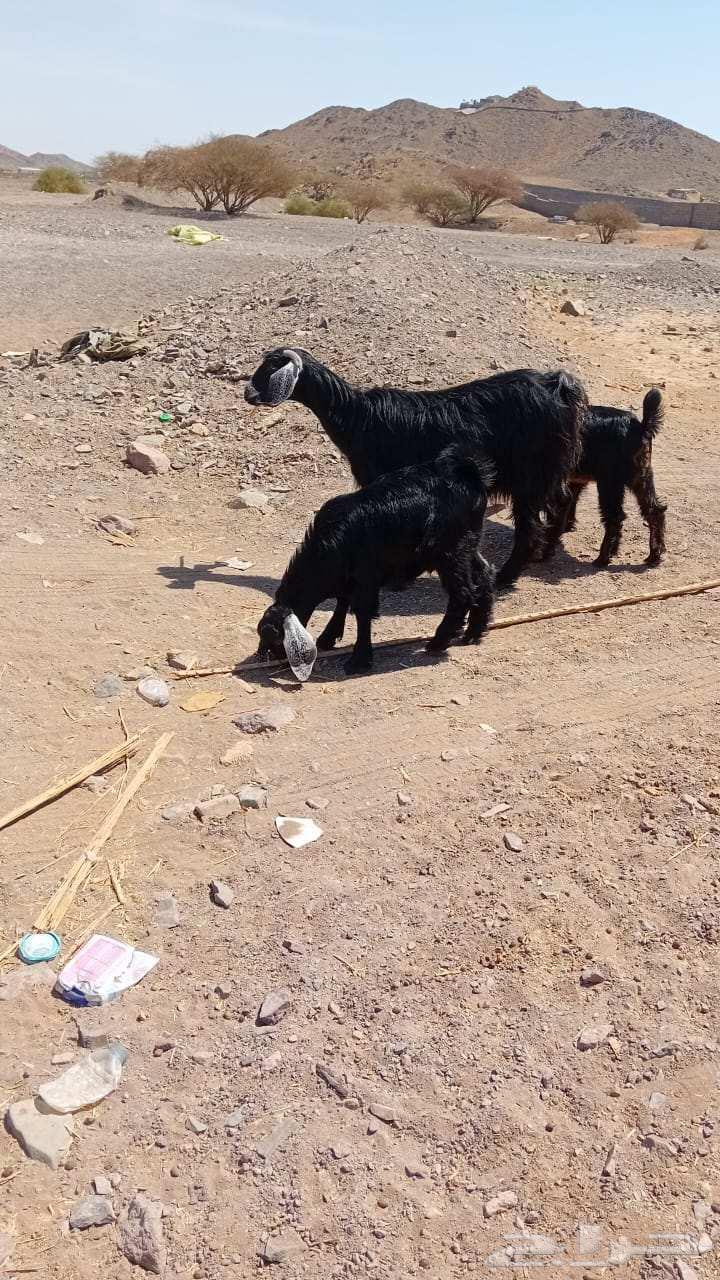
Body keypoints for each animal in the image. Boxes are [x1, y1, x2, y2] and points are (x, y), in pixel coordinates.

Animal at [245, 348, 587, 589]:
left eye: (271, 368)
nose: (248, 393)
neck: (358, 416)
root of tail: (557, 385)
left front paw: (397, 579)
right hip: (549, 470)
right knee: (561, 501)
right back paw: (546, 551)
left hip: (531, 475)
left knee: (529, 528)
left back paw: (506, 576)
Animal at [256, 446, 495, 676]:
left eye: (273, 636)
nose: (264, 657)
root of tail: (468, 473)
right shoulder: (349, 580)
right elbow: (342, 603)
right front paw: (328, 637)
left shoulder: (366, 578)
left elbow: (362, 614)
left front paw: (358, 660)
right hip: (469, 543)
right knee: (484, 574)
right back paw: (474, 632)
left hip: (450, 552)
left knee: (462, 593)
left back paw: (438, 641)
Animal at [544, 388, 667, 567]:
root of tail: (641, 427)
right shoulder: (574, 479)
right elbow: (571, 500)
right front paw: (568, 526)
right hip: (641, 476)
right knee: (654, 511)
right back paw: (654, 555)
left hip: (609, 482)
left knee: (615, 516)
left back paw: (602, 558)